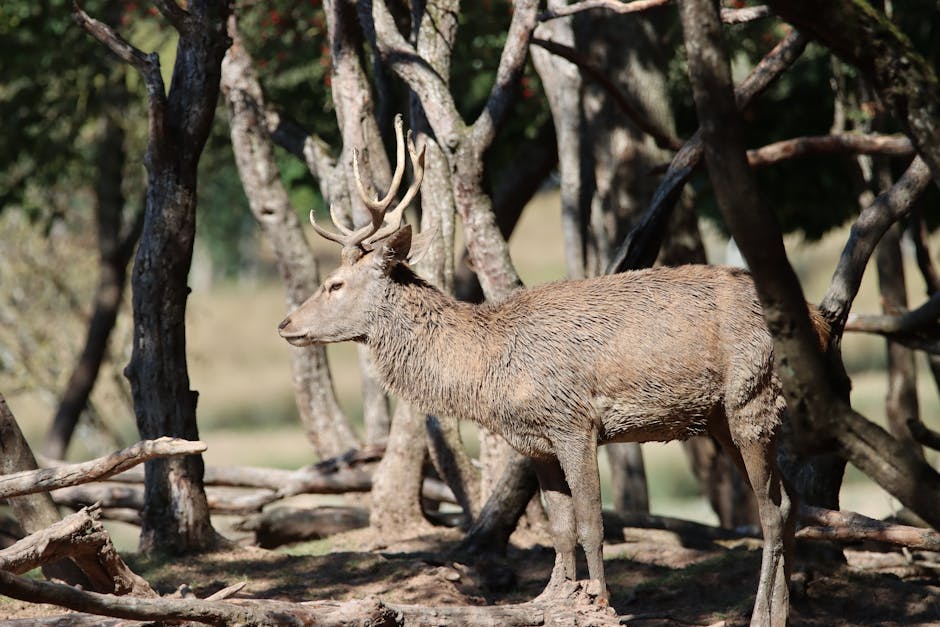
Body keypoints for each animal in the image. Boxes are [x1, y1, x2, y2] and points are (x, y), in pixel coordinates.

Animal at [276, 116, 812, 624]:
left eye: (335, 284)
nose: (285, 324)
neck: (488, 370)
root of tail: (819, 322)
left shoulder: (575, 423)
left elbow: (592, 522)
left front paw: (600, 601)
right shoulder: (534, 441)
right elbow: (560, 527)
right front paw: (554, 598)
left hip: (751, 395)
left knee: (768, 511)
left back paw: (760, 615)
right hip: (722, 417)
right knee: (787, 503)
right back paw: (782, 612)